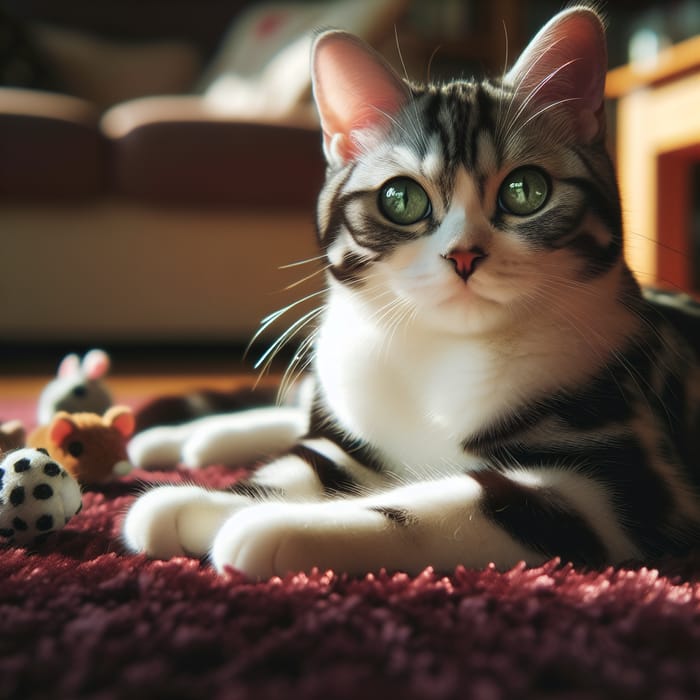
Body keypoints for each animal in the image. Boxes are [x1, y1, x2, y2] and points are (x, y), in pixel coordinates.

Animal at [123, 6, 700, 580]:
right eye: (400, 198)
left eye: (526, 191)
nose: (464, 256)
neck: (441, 354)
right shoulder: (348, 437)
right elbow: (297, 462)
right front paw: (205, 501)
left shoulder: (613, 480)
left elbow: (438, 509)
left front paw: (277, 525)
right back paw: (180, 439)